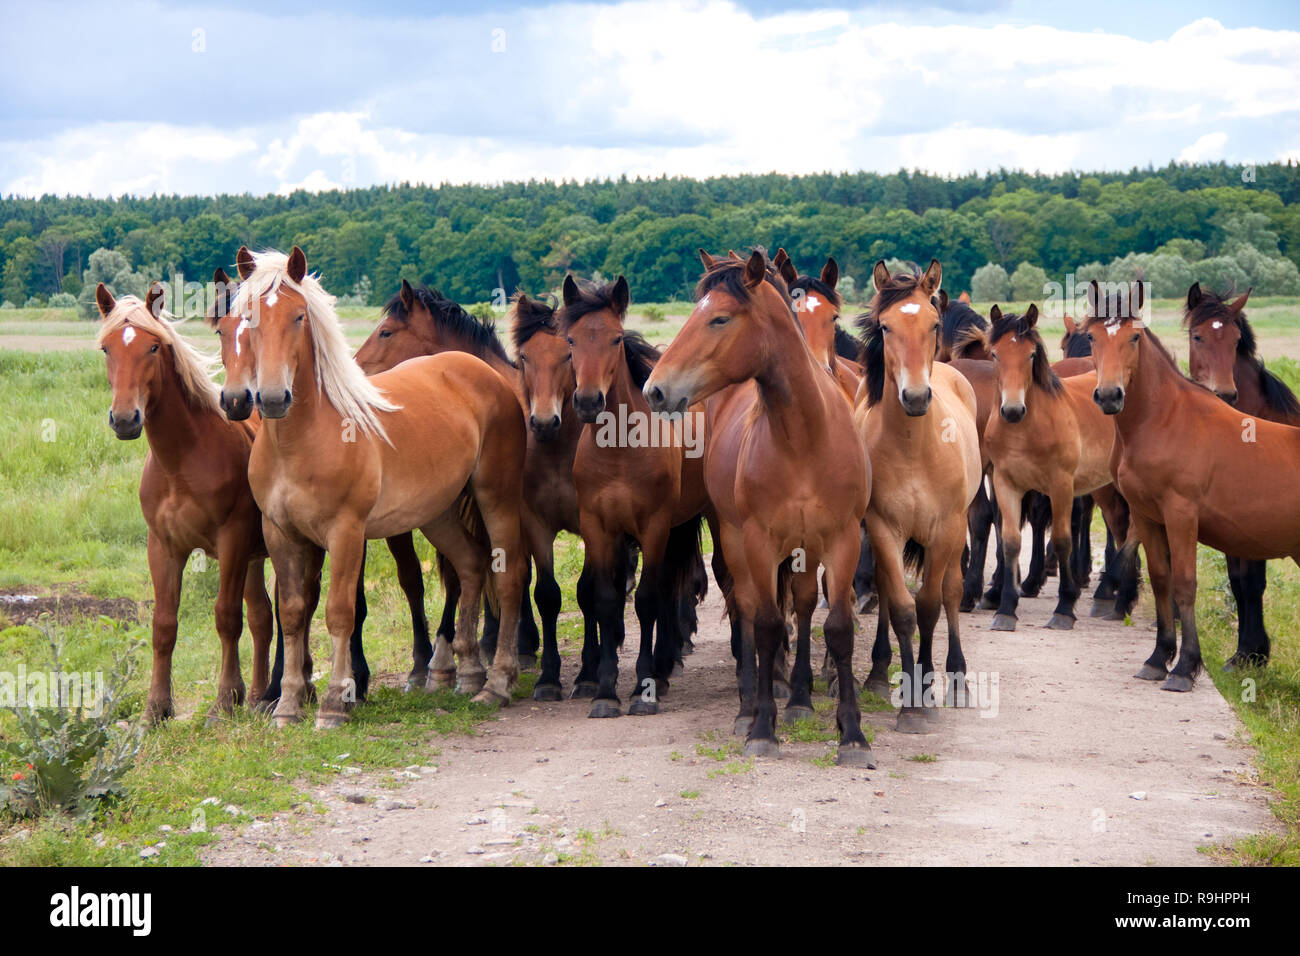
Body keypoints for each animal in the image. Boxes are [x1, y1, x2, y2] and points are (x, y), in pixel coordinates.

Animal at [236, 247, 525, 723]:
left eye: (299, 317)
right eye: (246, 317)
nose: (274, 398)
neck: (300, 441)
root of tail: (481, 370)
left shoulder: (346, 533)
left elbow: (339, 612)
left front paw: (334, 703)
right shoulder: (280, 534)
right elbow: (293, 614)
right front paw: (288, 704)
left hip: (496, 497)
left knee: (508, 574)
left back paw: (497, 683)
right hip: (437, 513)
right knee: (470, 564)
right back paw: (465, 673)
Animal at [642, 248, 873, 770]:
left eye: (720, 318)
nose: (655, 390)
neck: (805, 436)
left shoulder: (842, 538)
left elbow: (838, 626)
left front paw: (852, 735)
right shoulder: (759, 541)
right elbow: (765, 625)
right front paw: (763, 727)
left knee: (802, 603)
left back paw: (800, 697)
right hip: (732, 537)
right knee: (744, 606)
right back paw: (749, 706)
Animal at [852, 257, 977, 728]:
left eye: (933, 323)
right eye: (885, 327)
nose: (917, 397)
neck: (913, 448)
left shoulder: (945, 530)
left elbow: (930, 606)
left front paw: (927, 691)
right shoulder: (883, 529)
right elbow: (905, 610)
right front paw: (911, 703)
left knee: (952, 592)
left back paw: (957, 680)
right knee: (890, 597)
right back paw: (875, 674)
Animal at [1081, 280, 1300, 691]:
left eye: (1134, 337)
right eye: (1091, 337)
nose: (1109, 395)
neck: (1165, 419)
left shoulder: (1181, 515)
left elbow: (1184, 584)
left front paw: (1185, 666)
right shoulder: (1147, 516)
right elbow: (1161, 580)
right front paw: (1158, 658)